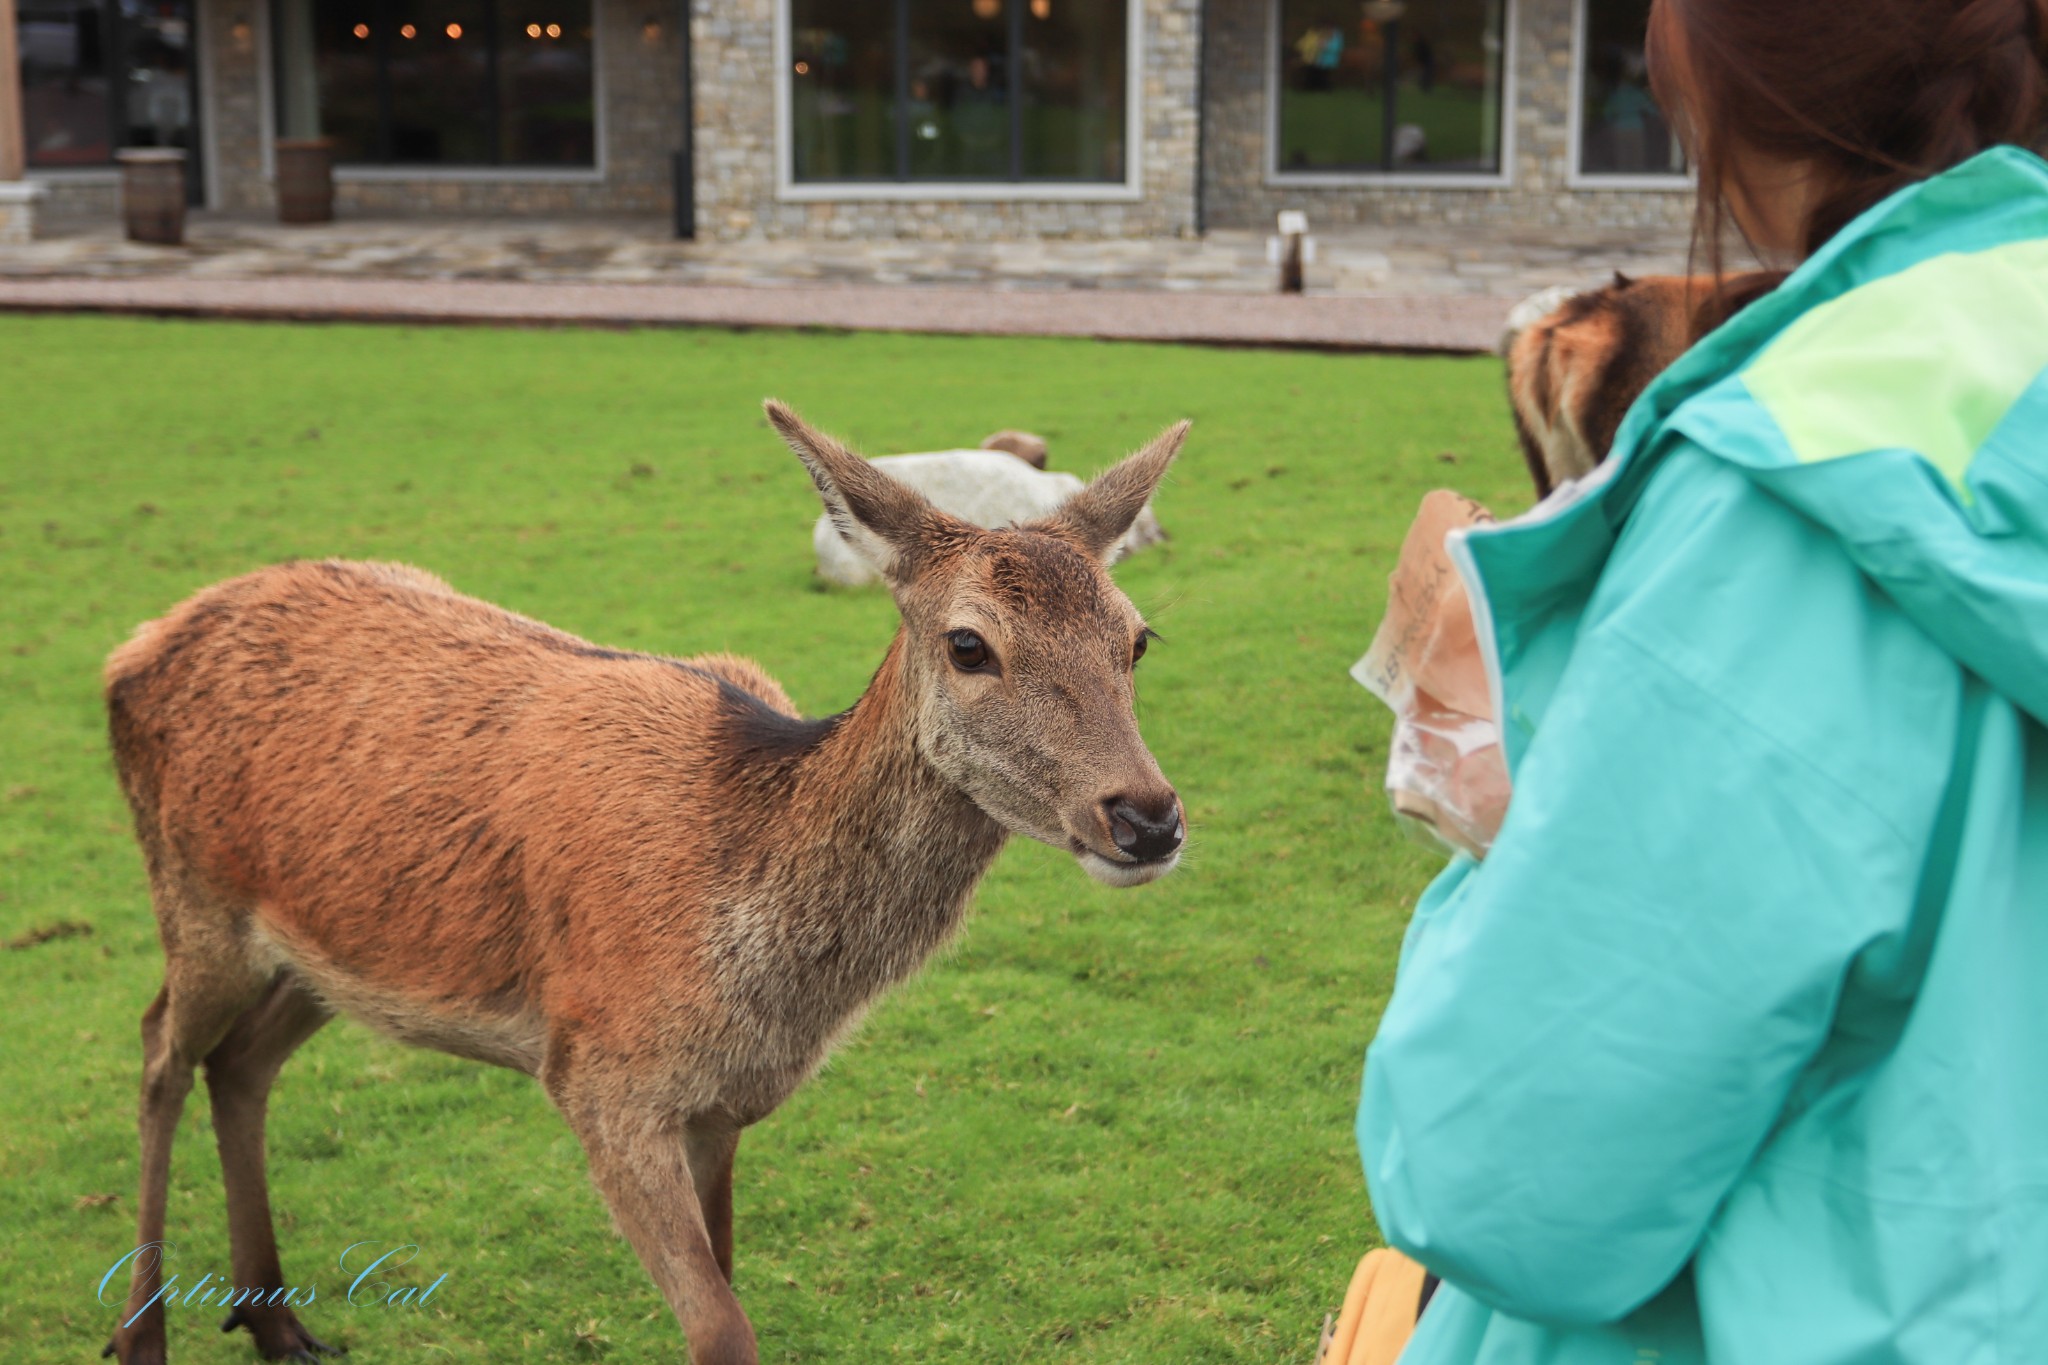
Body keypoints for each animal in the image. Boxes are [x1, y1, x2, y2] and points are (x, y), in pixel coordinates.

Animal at [99, 403, 1187, 1365]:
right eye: (969, 644)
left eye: (1137, 638)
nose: (1146, 816)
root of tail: (132, 648)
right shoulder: (597, 1077)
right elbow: (723, 1328)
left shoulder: (720, 1108)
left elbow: (732, 1277)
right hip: (194, 895)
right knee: (159, 1048)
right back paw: (142, 1334)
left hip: (325, 953)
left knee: (242, 1064)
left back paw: (277, 1323)